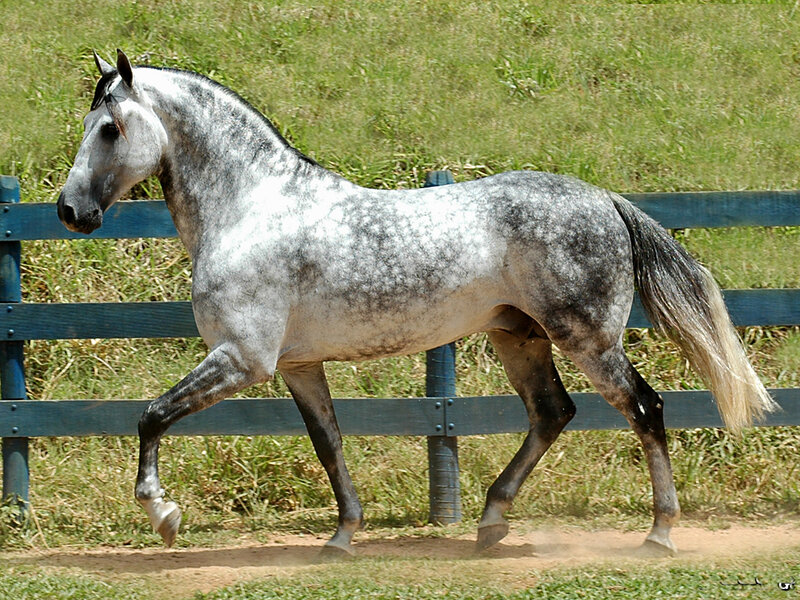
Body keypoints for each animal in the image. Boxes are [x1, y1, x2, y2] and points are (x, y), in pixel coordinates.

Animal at [57, 50, 777, 557]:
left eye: (111, 128)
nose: (70, 211)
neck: (252, 209)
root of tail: (604, 198)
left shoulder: (242, 359)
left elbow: (151, 417)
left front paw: (164, 516)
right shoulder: (296, 366)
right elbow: (329, 443)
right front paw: (342, 537)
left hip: (589, 340)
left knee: (645, 409)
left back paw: (658, 534)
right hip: (518, 338)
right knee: (552, 413)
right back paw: (490, 522)